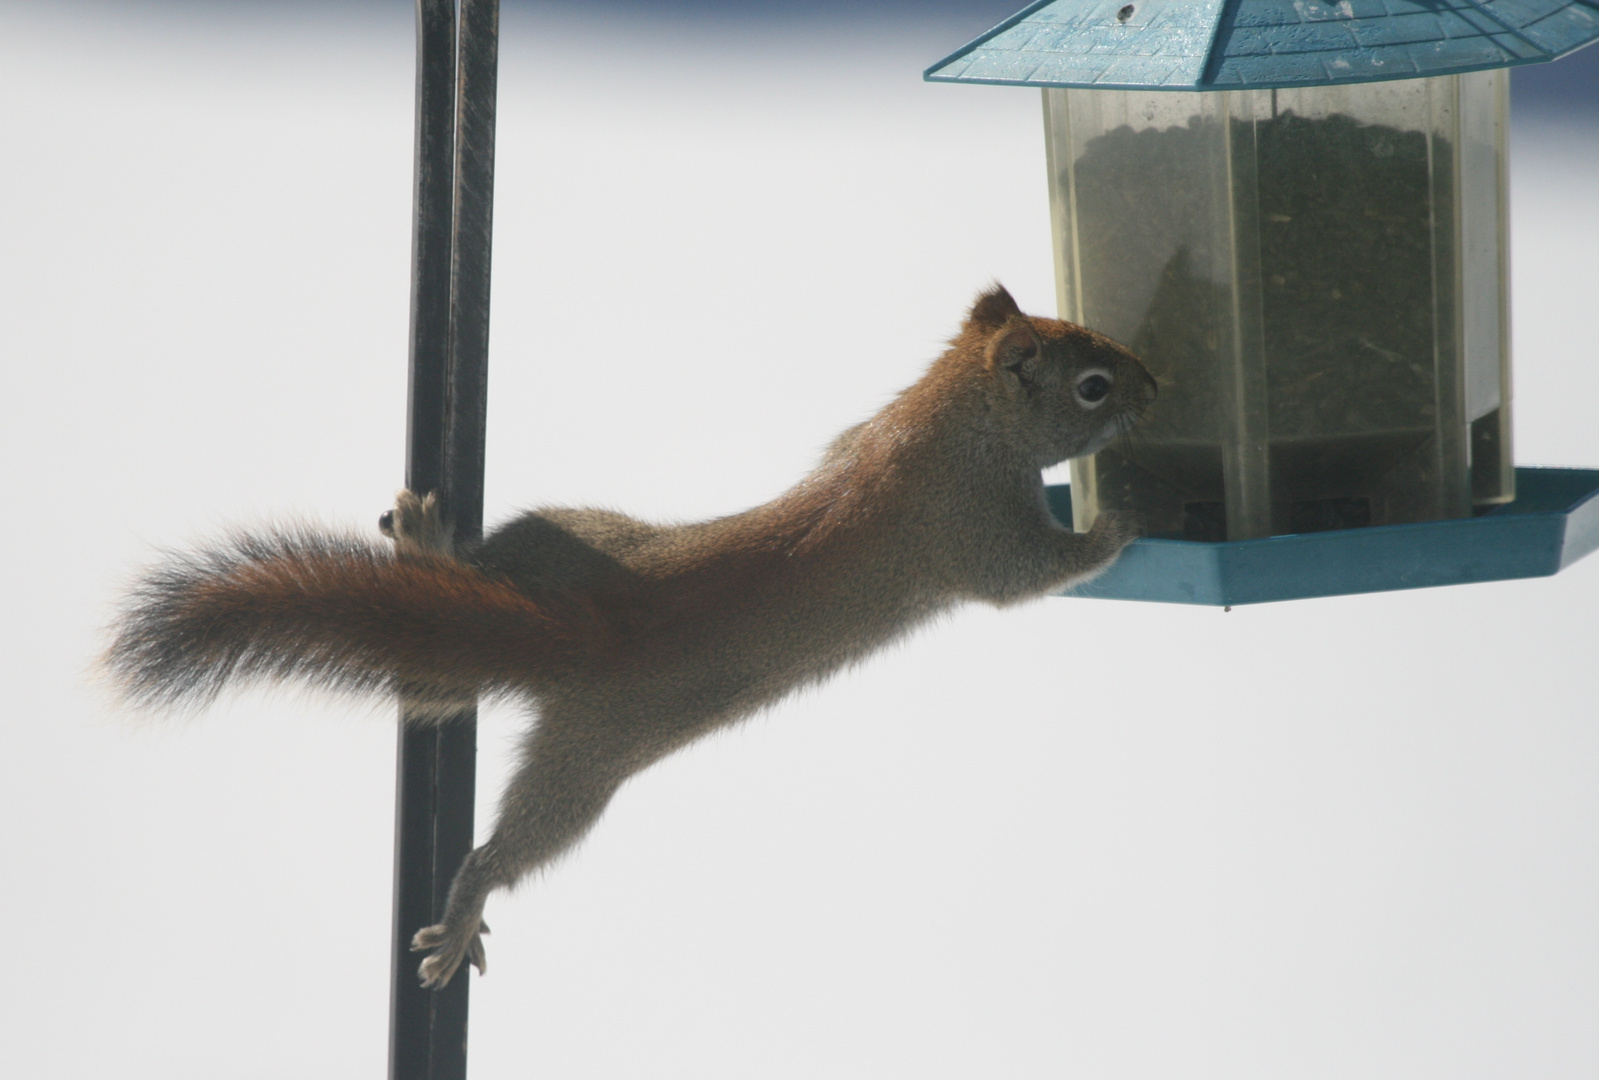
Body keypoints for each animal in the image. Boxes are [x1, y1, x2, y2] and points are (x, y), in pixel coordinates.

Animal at [106, 284, 1157, 985]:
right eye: (1093, 385)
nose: (1158, 384)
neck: (942, 419)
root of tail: (569, 628)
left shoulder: (862, 439)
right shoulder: (968, 527)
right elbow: (1028, 575)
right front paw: (1114, 526)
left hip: (561, 536)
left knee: (454, 646)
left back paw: (430, 550)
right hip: (585, 763)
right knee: (516, 843)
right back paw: (464, 910)